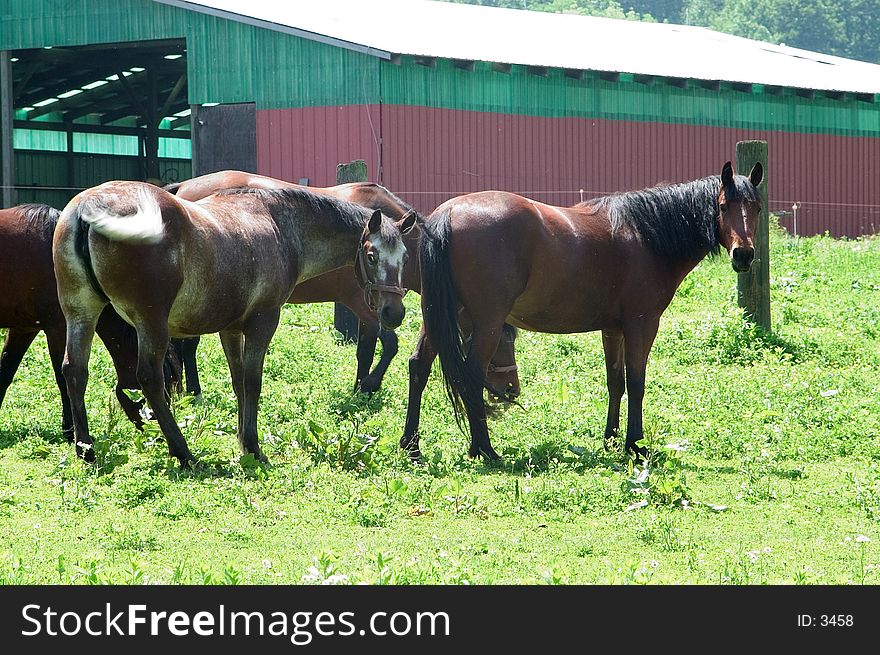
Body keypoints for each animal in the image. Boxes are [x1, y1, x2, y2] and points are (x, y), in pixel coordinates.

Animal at [0, 204, 179, 440]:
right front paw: (70, 430)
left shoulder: (24, 328)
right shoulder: (58, 328)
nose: (158, 436)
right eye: (166, 385)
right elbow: (62, 378)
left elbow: (5, 372)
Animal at [53, 181, 414, 466]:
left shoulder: (229, 329)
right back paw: (183, 452)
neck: (279, 223)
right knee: (149, 379)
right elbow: (253, 382)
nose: (393, 313)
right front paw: (253, 447)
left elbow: (238, 382)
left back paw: (85, 449)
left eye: (406, 257)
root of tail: (88, 207)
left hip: (81, 313)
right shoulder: (262, 322)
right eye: (371, 256)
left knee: (75, 371)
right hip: (151, 324)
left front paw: (243, 438)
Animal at [165, 172, 524, 400]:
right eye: (501, 340)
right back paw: (193, 391)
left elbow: (368, 348)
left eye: (406, 258)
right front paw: (369, 384)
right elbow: (387, 345)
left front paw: (361, 385)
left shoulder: (372, 308)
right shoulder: (364, 304)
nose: (509, 388)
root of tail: (183, 189)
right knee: (188, 345)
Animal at [412, 162, 764, 462]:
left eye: (757, 208)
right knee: (472, 373)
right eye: (723, 206)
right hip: (487, 321)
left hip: (440, 317)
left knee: (419, 366)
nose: (744, 255)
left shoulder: (613, 329)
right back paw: (484, 449)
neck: (646, 236)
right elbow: (637, 382)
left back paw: (412, 447)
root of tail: (448, 213)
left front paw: (611, 439)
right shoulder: (642, 325)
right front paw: (635, 445)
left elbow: (615, 382)